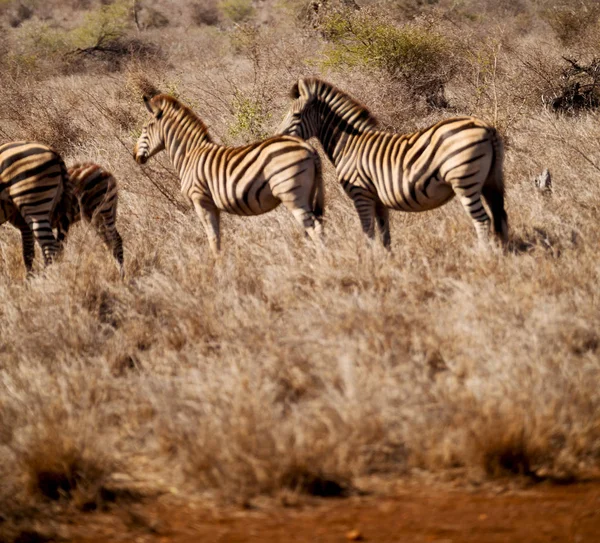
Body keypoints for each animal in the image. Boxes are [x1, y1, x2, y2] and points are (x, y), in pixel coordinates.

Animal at [134, 93, 326, 255]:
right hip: (309, 194)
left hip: (292, 195)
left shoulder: (201, 201)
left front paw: (218, 270)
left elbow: (213, 239)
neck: (189, 155)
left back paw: (321, 260)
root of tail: (308, 147)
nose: (135, 155)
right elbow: (218, 238)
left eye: (144, 128)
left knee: (314, 228)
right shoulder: (213, 205)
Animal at [276, 78, 506, 249]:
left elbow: (368, 233)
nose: (277, 137)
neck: (349, 145)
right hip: (490, 180)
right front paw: (387, 261)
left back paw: (483, 254)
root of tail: (485, 127)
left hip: (465, 180)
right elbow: (384, 234)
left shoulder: (361, 194)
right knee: (499, 215)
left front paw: (369, 262)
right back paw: (502, 254)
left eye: (296, 115)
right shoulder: (378, 198)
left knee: (482, 220)